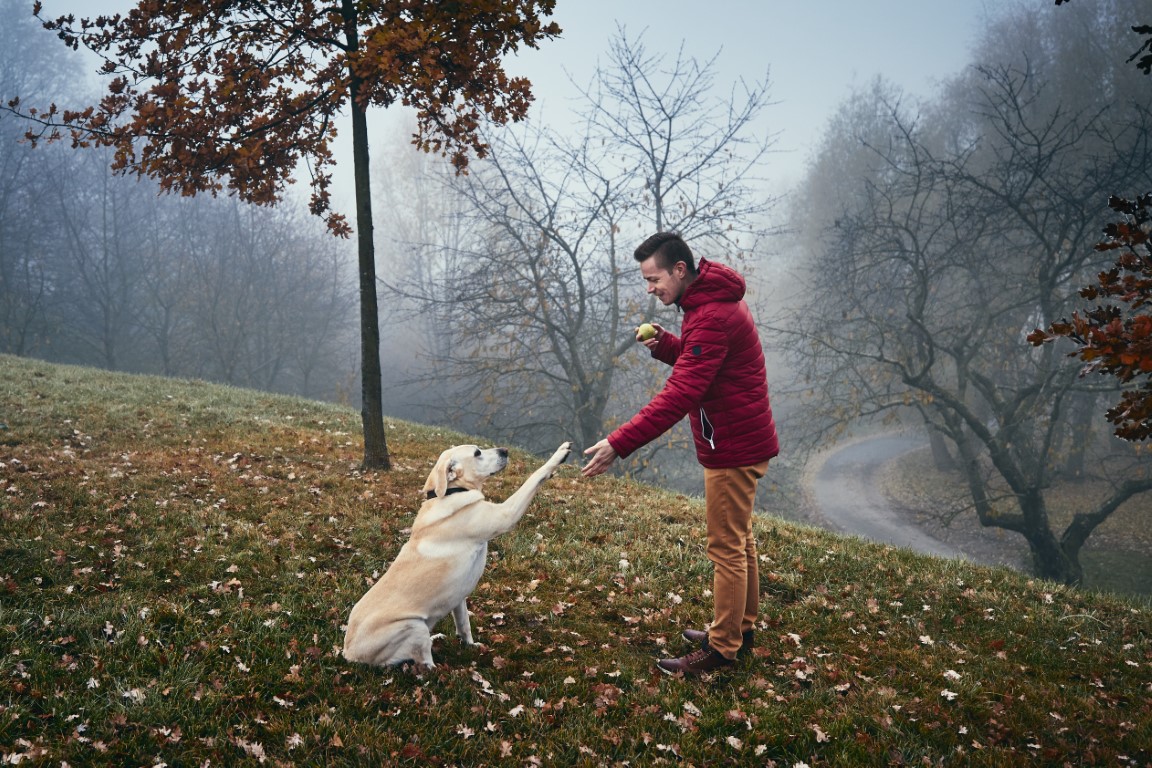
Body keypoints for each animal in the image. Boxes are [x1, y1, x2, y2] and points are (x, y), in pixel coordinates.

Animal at [343, 442, 573, 667]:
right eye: (477, 453)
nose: (505, 450)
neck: (451, 492)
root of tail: (348, 653)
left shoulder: (459, 598)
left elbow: (464, 625)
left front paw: (470, 646)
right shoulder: (505, 514)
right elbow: (534, 476)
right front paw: (559, 455)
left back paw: (435, 638)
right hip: (413, 626)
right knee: (421, 663)